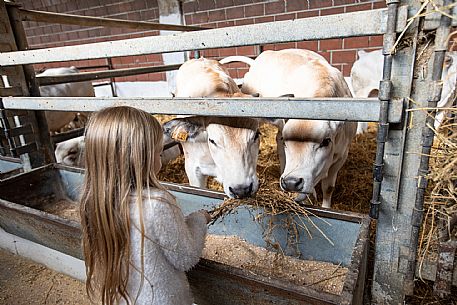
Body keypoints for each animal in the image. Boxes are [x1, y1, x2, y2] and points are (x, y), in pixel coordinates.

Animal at [221, 49, 356, 207]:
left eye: (326, 141)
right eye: (287, 142)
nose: (291, 183)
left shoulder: (342, 155)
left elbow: (328, 188)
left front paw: (326, 206)